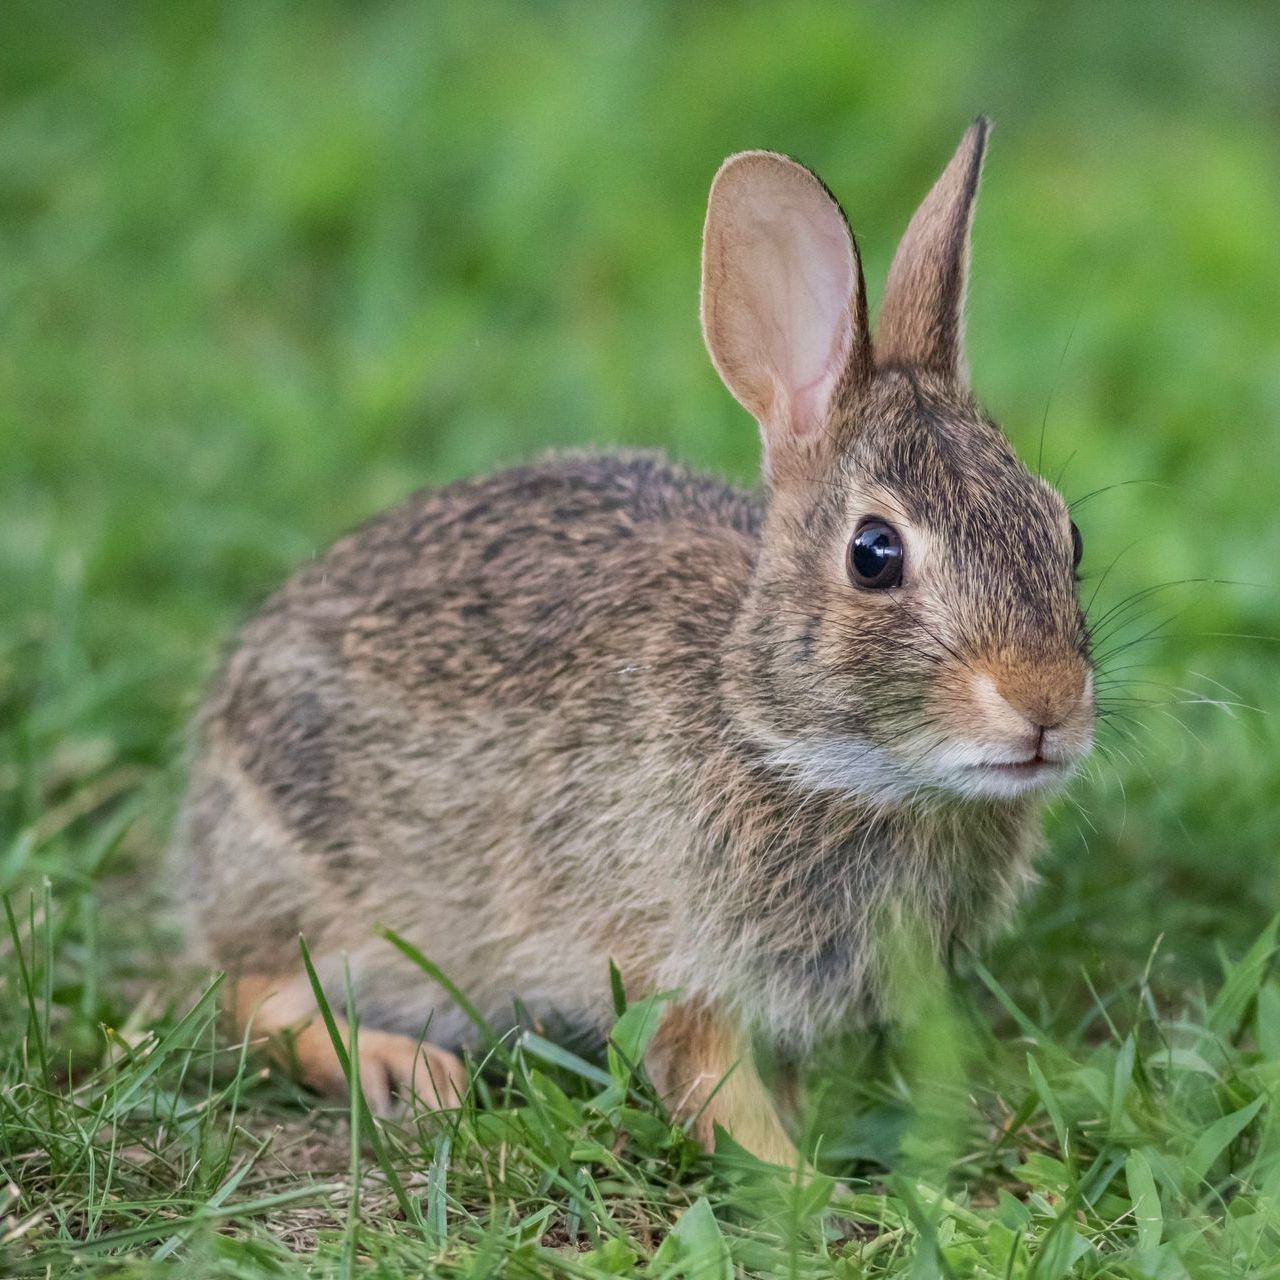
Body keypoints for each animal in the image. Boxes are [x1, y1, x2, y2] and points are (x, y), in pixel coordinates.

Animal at [171, 118, 1094, 1166]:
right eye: (874, 554)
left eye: (1067, 535)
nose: (1047, 706)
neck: (790, 741)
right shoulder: (676, 961)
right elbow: (711, 1086)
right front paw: (806, 1184)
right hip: (315, 885)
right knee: (247, 994)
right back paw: (403, 1070)